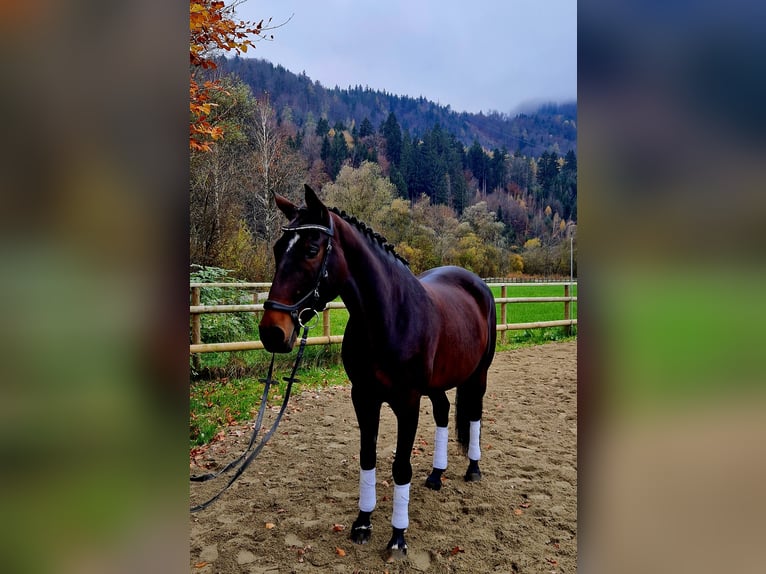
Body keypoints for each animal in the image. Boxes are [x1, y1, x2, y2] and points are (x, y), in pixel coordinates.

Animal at [258, 188, 498, 564]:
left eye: (311, 250)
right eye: (278, 248)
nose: (272, 332)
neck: (388, 317)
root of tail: (477, 284)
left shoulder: (407, 402)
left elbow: (400, 467)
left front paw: (398, 538)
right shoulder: (364, 398)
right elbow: (367, 458)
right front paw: (362, 523)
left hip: (478, 376)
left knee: (473, 414)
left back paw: (473, 469)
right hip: (436, 385)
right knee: (444, 412)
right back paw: (436, 475)